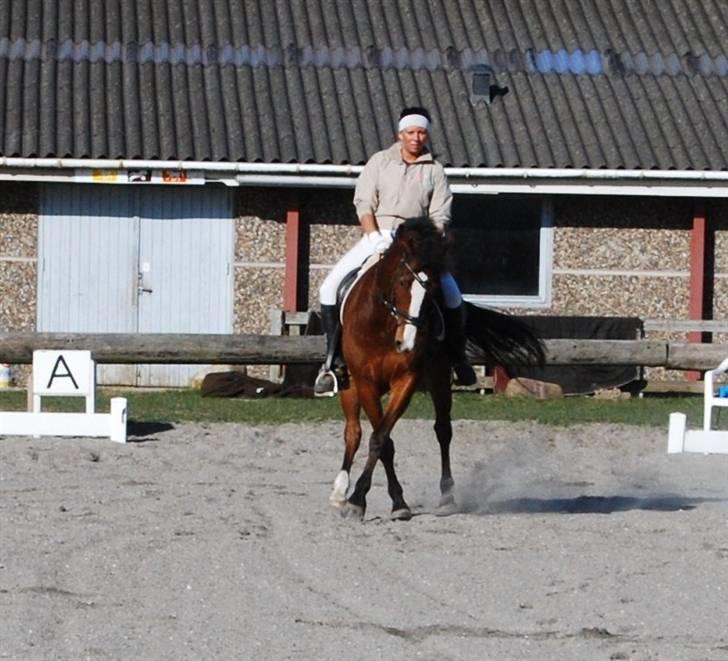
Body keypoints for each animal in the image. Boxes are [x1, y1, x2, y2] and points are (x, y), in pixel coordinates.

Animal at [330, 218, 544, 520]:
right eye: (402, 282)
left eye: (433, 291)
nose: (407, 343)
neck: (384, 326)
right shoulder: (365, 382)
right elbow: (380, 441)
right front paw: (360, 499)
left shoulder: (406, 380)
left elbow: (381, 438)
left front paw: (381, 500)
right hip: (350, 385)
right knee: (352, 432)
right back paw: (339, 493)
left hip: (440, 378)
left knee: (443, 430)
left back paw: (447, 496)